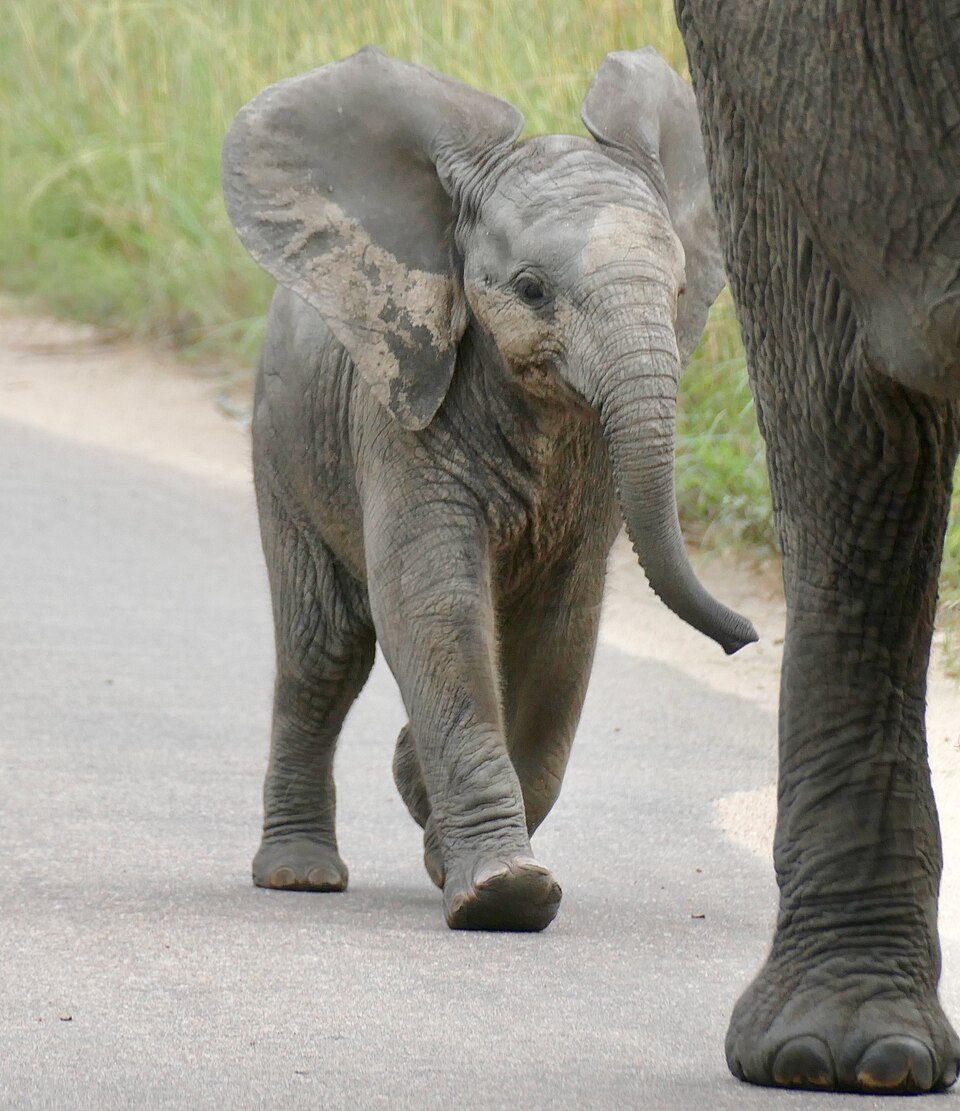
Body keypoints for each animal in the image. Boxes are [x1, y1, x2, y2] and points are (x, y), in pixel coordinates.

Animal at [221, 46, 756, 933]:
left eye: (680, 291)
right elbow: (433, 602)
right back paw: (300, 874)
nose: (746, 639)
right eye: (532, 289)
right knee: (321, 651)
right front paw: (505, 892)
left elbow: (562, 632)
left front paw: (453, 849)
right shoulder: (398, 414)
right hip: (283, 438)